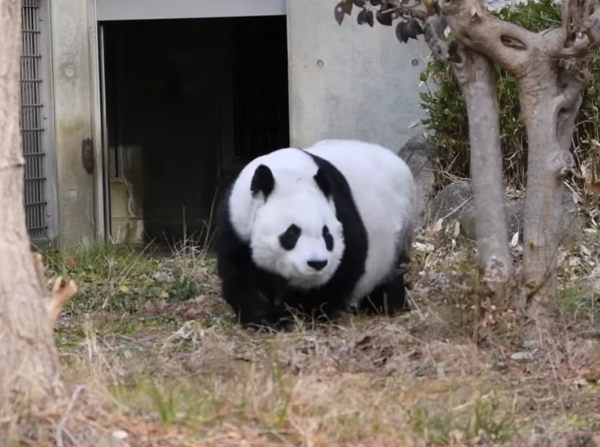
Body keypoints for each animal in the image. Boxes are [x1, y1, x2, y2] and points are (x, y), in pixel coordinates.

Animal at [216, 140, 418, 328]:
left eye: (327, 235)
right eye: (292, 233)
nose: (317, 263)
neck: (287, 174)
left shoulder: (341, 214)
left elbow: (342, 271)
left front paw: (305, 313)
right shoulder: (236, 224)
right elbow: (241, 275)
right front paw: (265, 320)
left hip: (398, 232)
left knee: (392, 275)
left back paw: (385, 305)